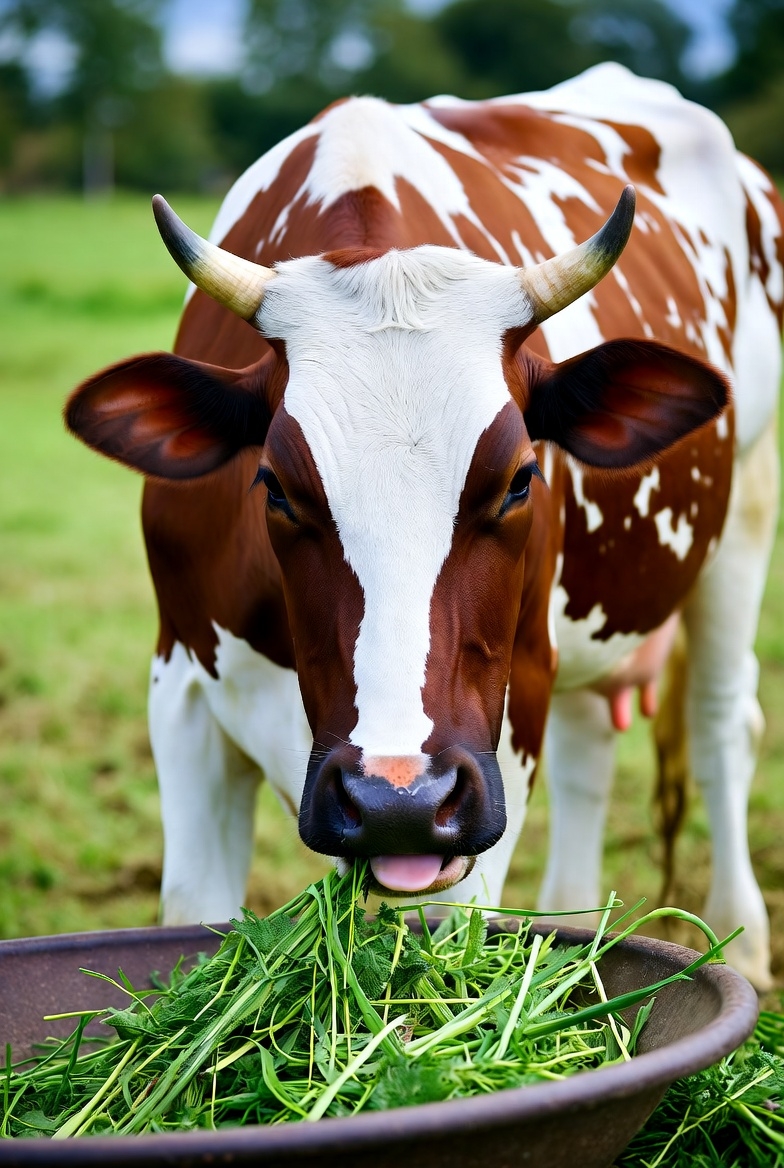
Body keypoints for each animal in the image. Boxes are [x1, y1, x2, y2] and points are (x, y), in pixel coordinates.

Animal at [66, 63, 783, 988]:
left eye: (519, 480)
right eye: (275, 486)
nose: (394, 796)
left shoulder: (500, 728)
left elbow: (459, 932)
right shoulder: (181, 689)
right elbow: (192, 912)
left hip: (745, 513)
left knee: (723, 720)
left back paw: (746, 939)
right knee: (591, 748)